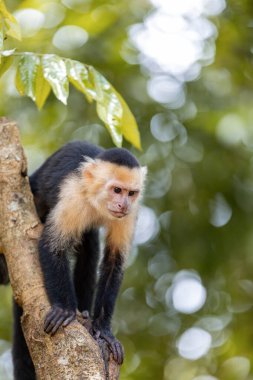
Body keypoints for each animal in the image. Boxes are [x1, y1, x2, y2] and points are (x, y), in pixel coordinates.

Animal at [5, 141, 146, 378]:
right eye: (117, 190)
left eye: (131, 193)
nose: (123, 204)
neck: (95, 199)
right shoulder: (72, 194)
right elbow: (53, 245)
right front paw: (64, 310)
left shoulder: (131, 213)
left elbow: (114, 262)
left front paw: (103, 330)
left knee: (89, 246)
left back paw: (85, 311)